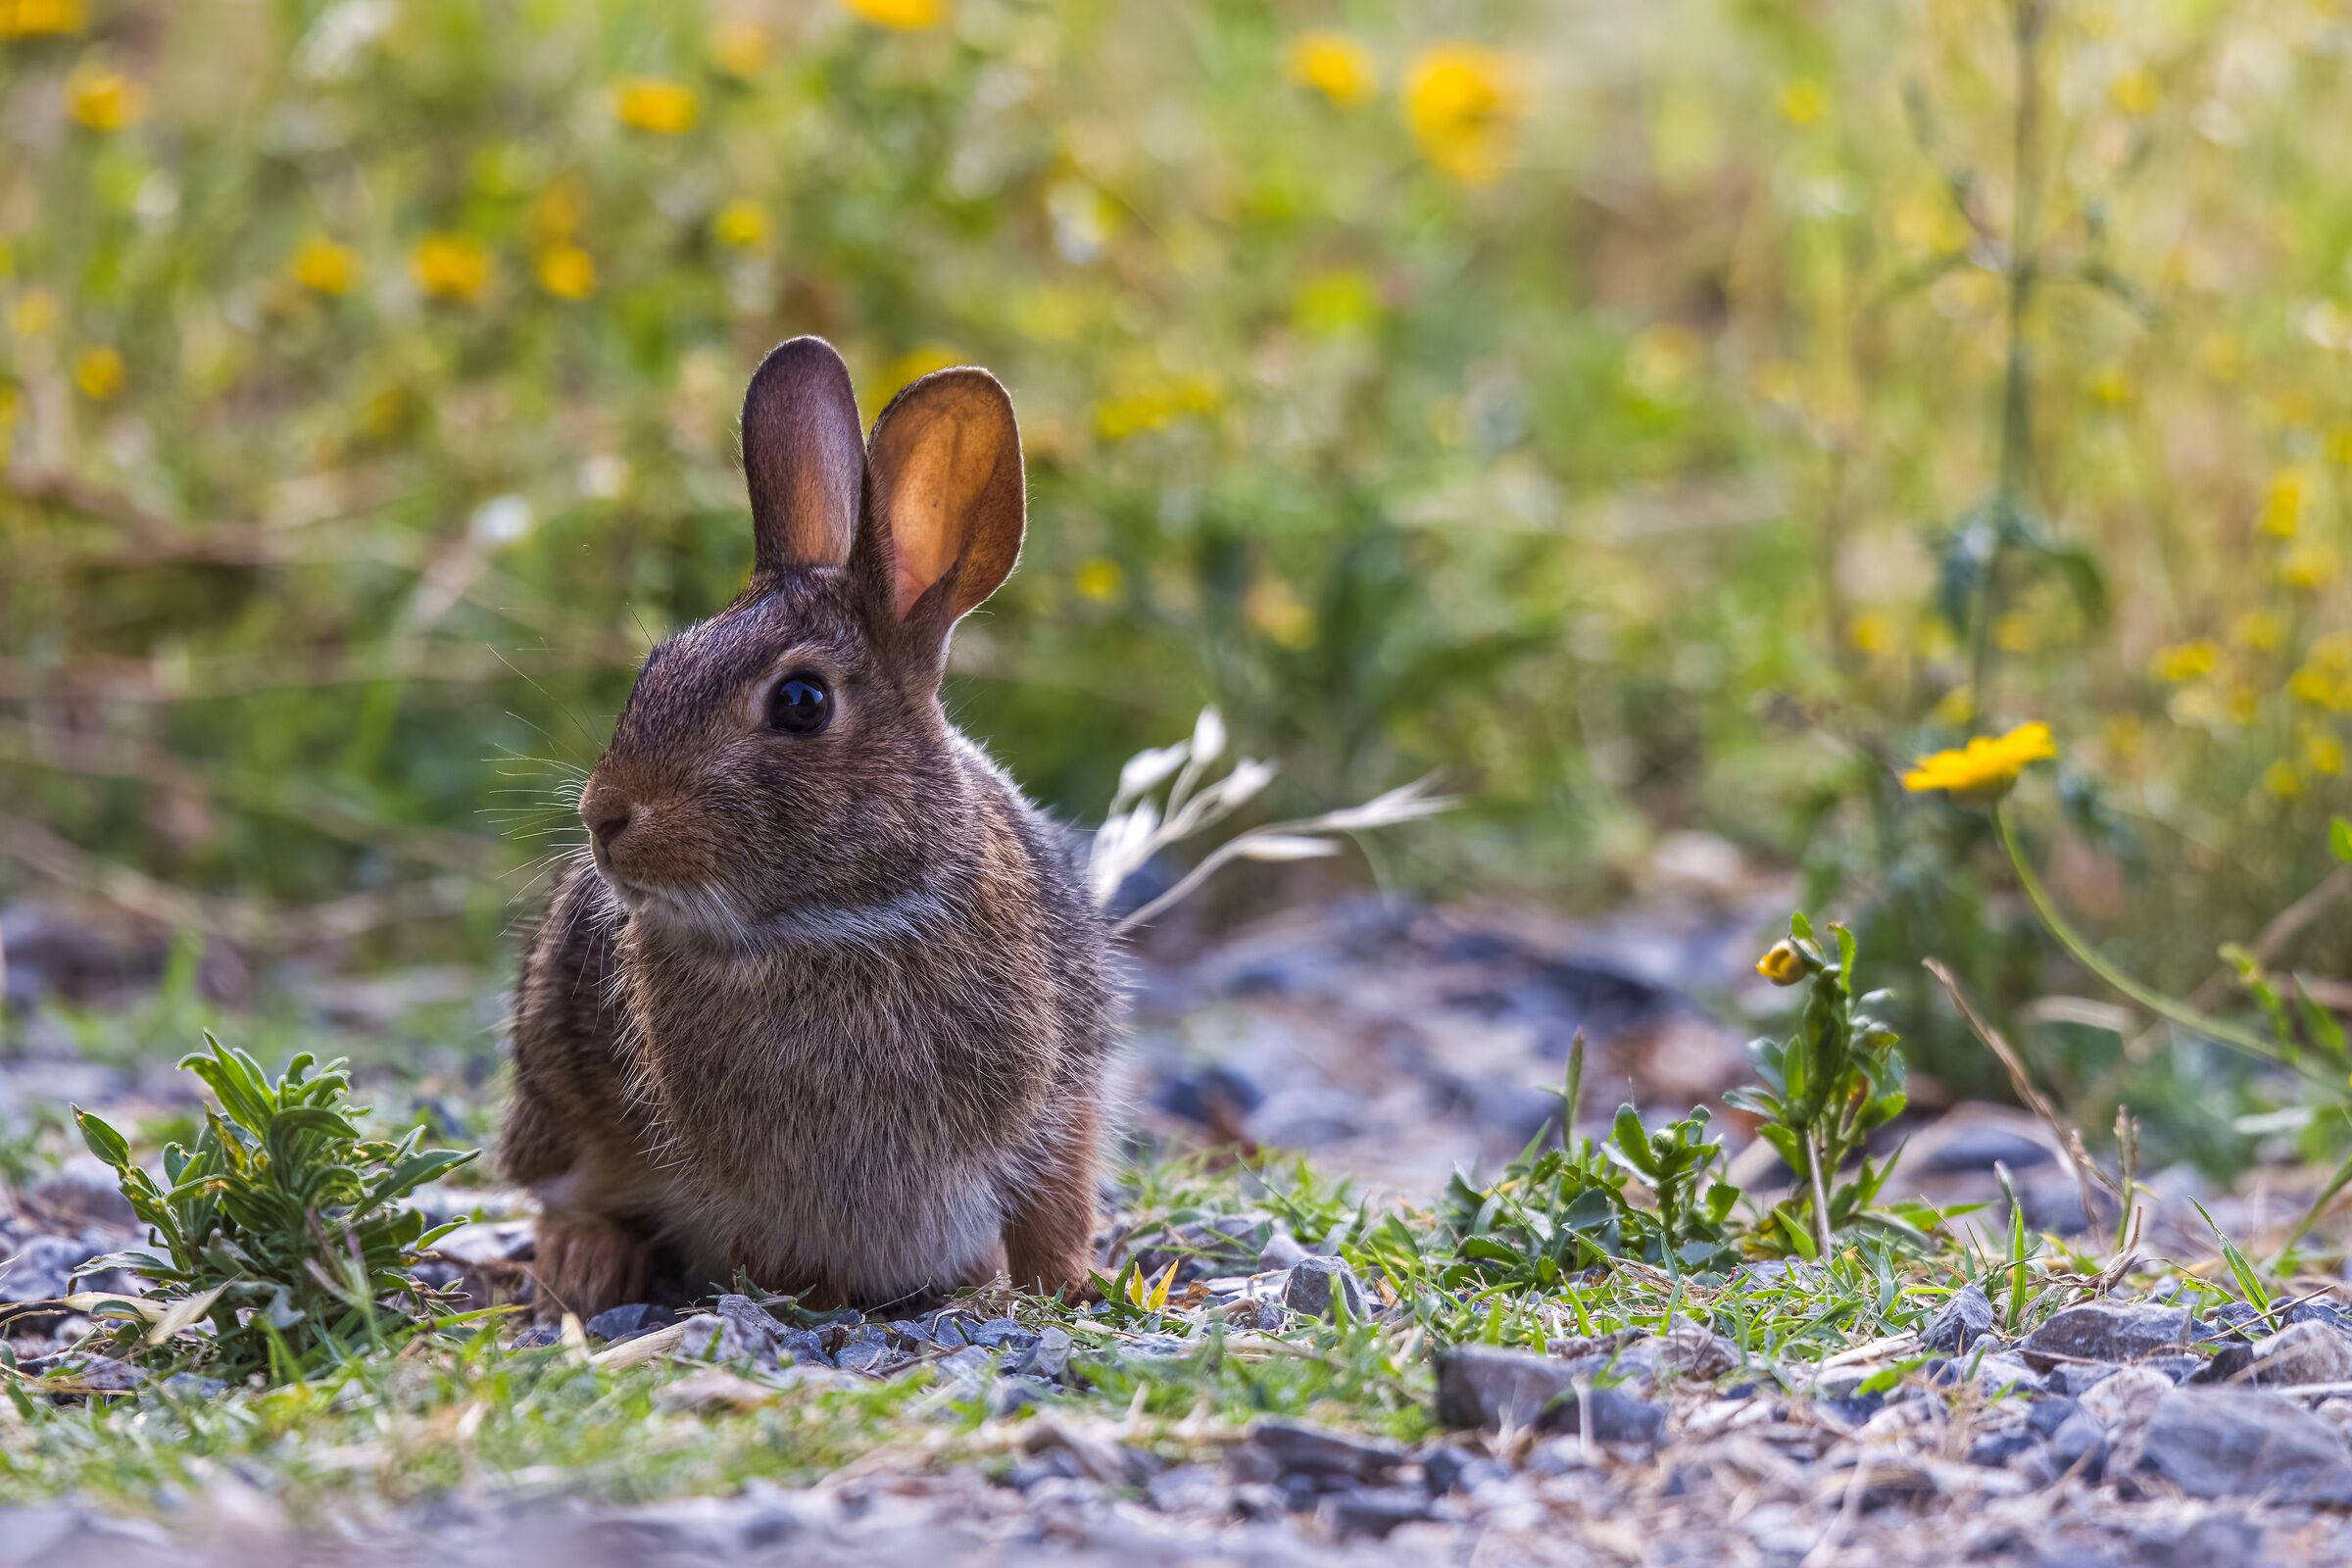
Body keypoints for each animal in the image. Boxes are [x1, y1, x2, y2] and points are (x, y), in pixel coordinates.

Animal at [499, 336, 1115, 1321]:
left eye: (800, 702)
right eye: (655, 665)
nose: (604, 817)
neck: (840, 925)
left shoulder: (1062, 1099)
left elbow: (1053, 1206)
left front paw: (1069, 1286)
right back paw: (589, 1268)